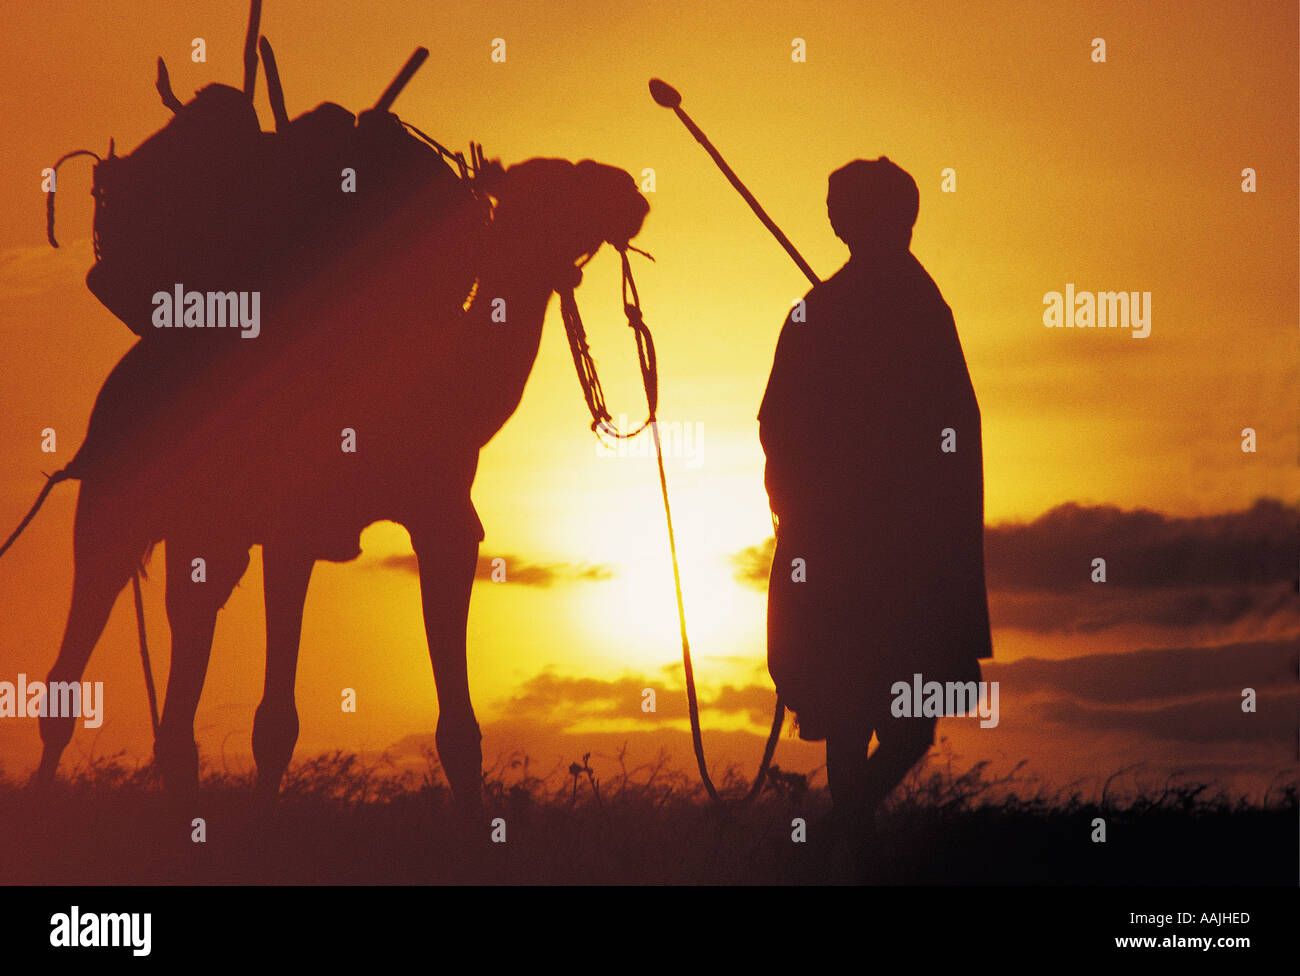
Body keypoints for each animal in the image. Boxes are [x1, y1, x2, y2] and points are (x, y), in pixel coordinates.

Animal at [32, 158, 650, 816]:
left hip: (208, 532)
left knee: (189, 623)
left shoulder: (445, 520)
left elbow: (459, 727)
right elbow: (275, 722)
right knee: (76, 653)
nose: (630, 193)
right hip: (113, 504)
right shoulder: (291, 528)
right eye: (559, 181)